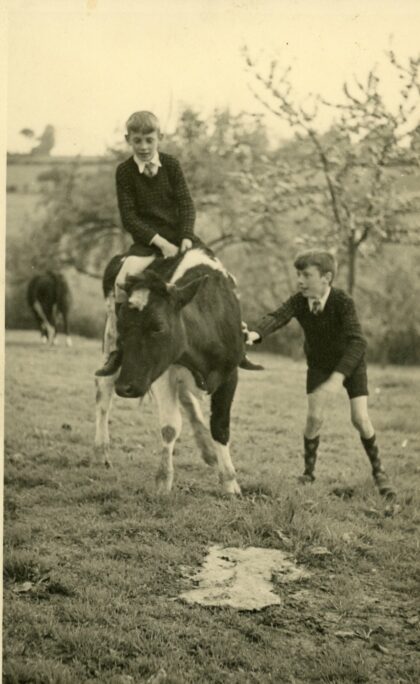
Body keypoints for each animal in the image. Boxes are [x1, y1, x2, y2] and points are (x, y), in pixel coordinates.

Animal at [94, 247, 248, 495]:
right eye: (123, 324)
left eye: (158, 326)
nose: (125, 387)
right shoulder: (163, 374)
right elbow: (170, 426)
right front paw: (163, 481)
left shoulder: (229, 374)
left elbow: (220, 426)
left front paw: (229, 482)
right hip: (109, 342)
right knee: (103, 395)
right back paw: (101, 451)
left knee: (187, 400)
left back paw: (208, 450)